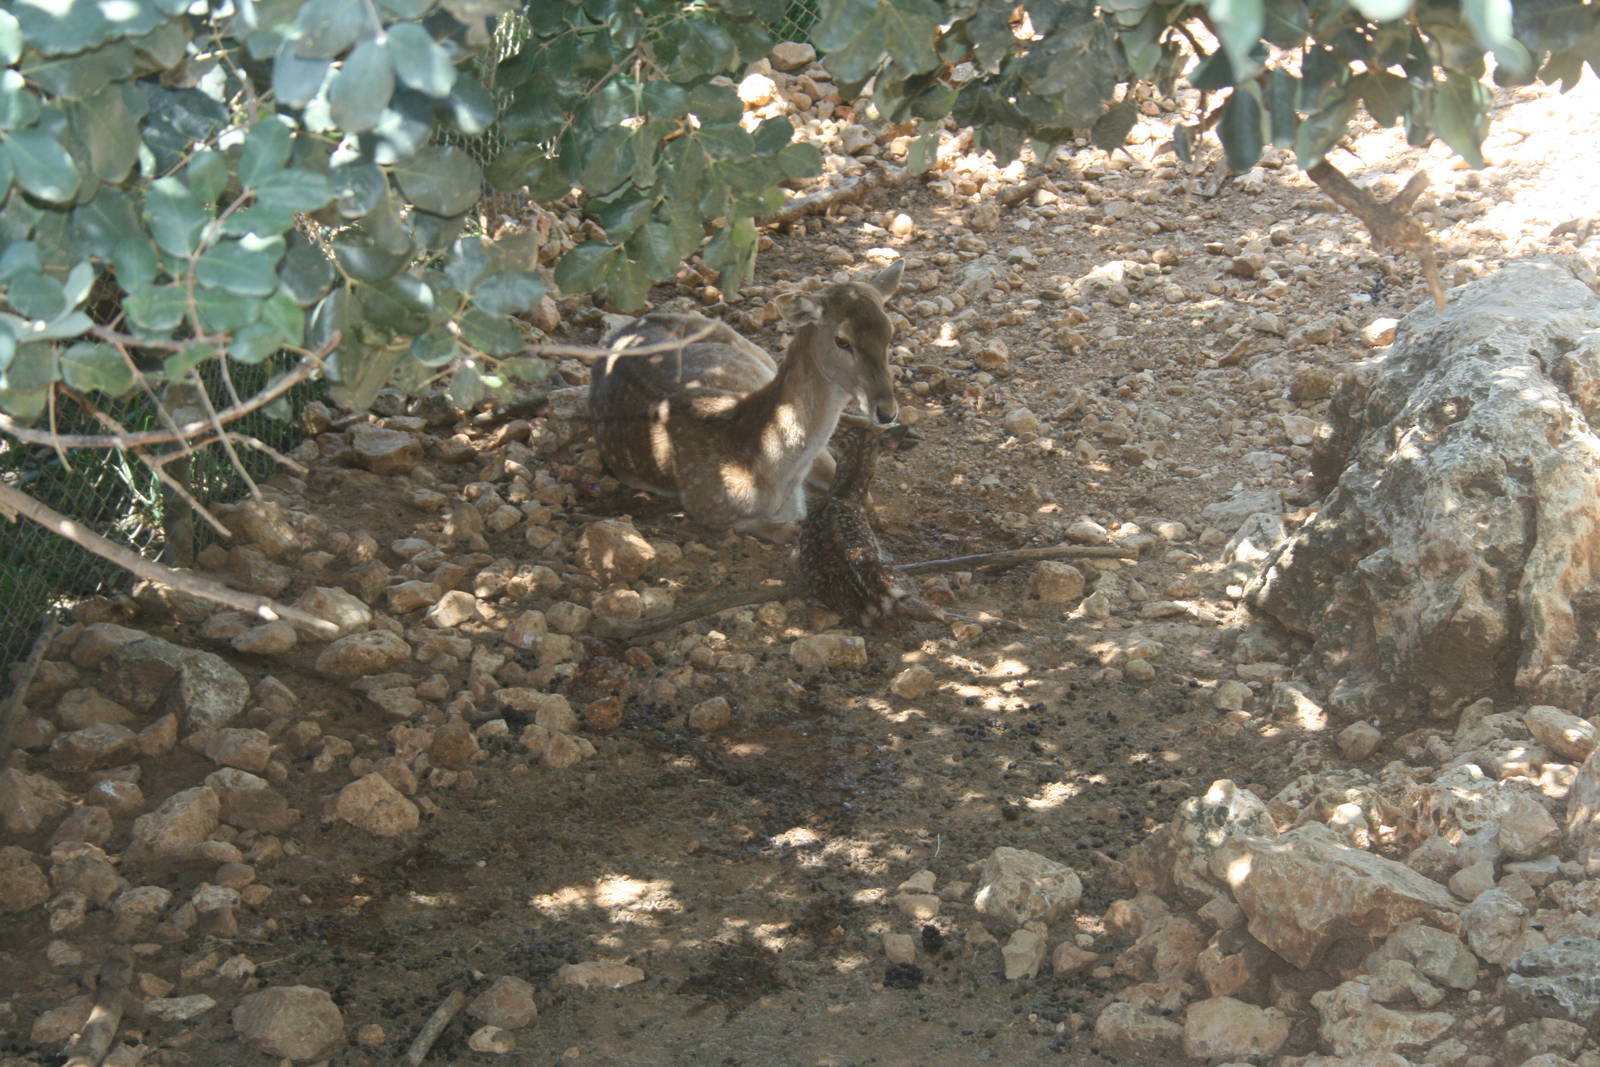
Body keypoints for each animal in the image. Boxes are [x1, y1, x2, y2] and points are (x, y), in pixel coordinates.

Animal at [588, 261, 904, 541]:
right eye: (842, 341)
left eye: (889, 333)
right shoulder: (711, 510)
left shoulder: (820, 458)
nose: (887, 410)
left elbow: (866, 500)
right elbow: (790, 531)